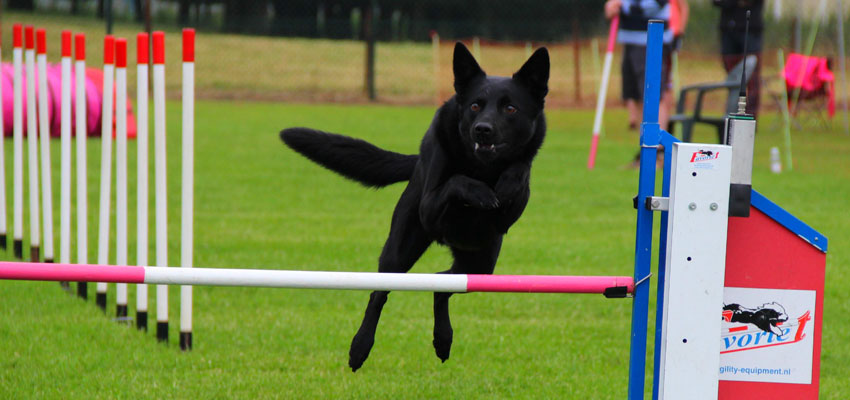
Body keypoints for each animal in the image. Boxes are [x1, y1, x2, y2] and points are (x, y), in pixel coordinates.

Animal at [278, 42, 544, 370]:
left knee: (439, 284)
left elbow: (518, 169)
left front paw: (507, 182)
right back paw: (360, 347)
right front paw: (480, 191)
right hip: (402, 247)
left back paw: (443, 339)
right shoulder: (429, 209)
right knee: (380, 292)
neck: (481, 166)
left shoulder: (508, 213)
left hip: (480, 265)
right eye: (475, 106)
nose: (482, 129)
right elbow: (456, 181)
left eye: (510, 108)